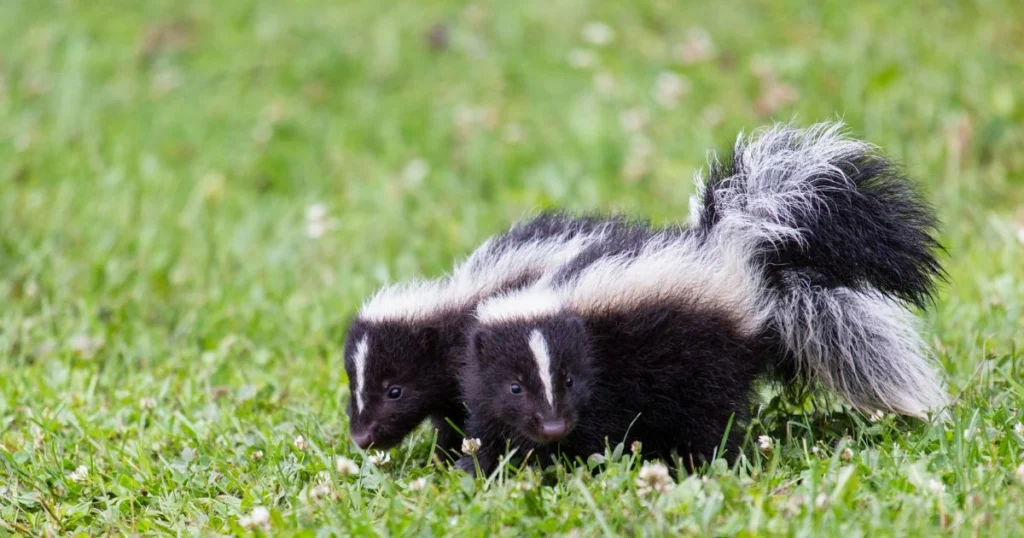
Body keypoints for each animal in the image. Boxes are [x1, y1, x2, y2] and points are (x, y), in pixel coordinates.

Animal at [454, 122, 942, 473]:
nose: (553, 426)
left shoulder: (607, 377)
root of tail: (735, 249)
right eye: (515, 386)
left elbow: (600, 430)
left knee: (710, 419)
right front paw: (480, 467)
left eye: (570, 380)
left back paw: (704, 462)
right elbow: (488, 426)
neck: (552, 290)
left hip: (710, 359)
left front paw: (574, 465)